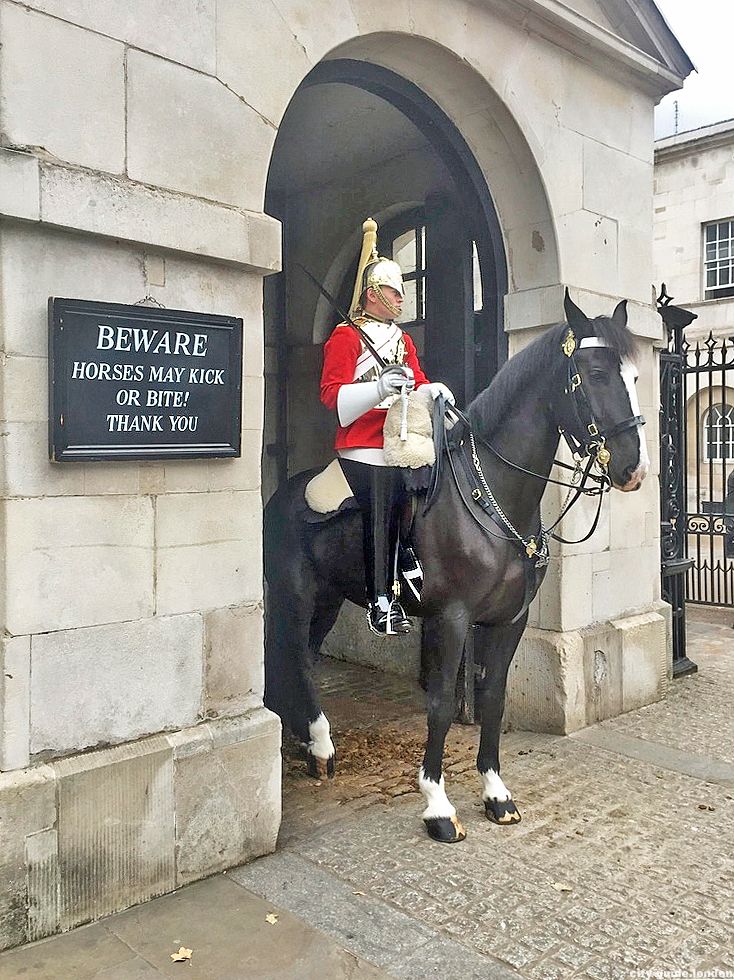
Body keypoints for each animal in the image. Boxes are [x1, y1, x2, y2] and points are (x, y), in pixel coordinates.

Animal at [264, 290, 648, 844]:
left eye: (635, 376)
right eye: (596, 373)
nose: (634, 469)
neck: (492, 497)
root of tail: (282, 493)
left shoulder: (509, 621)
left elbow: (493, 695)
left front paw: (496, 792)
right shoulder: (452, 618)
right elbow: (443, 702)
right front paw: (438, 806)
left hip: (330, 599)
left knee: (306, 656)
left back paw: (306, 739)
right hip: (296, 594)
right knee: (296, 654)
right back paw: (319, 742)